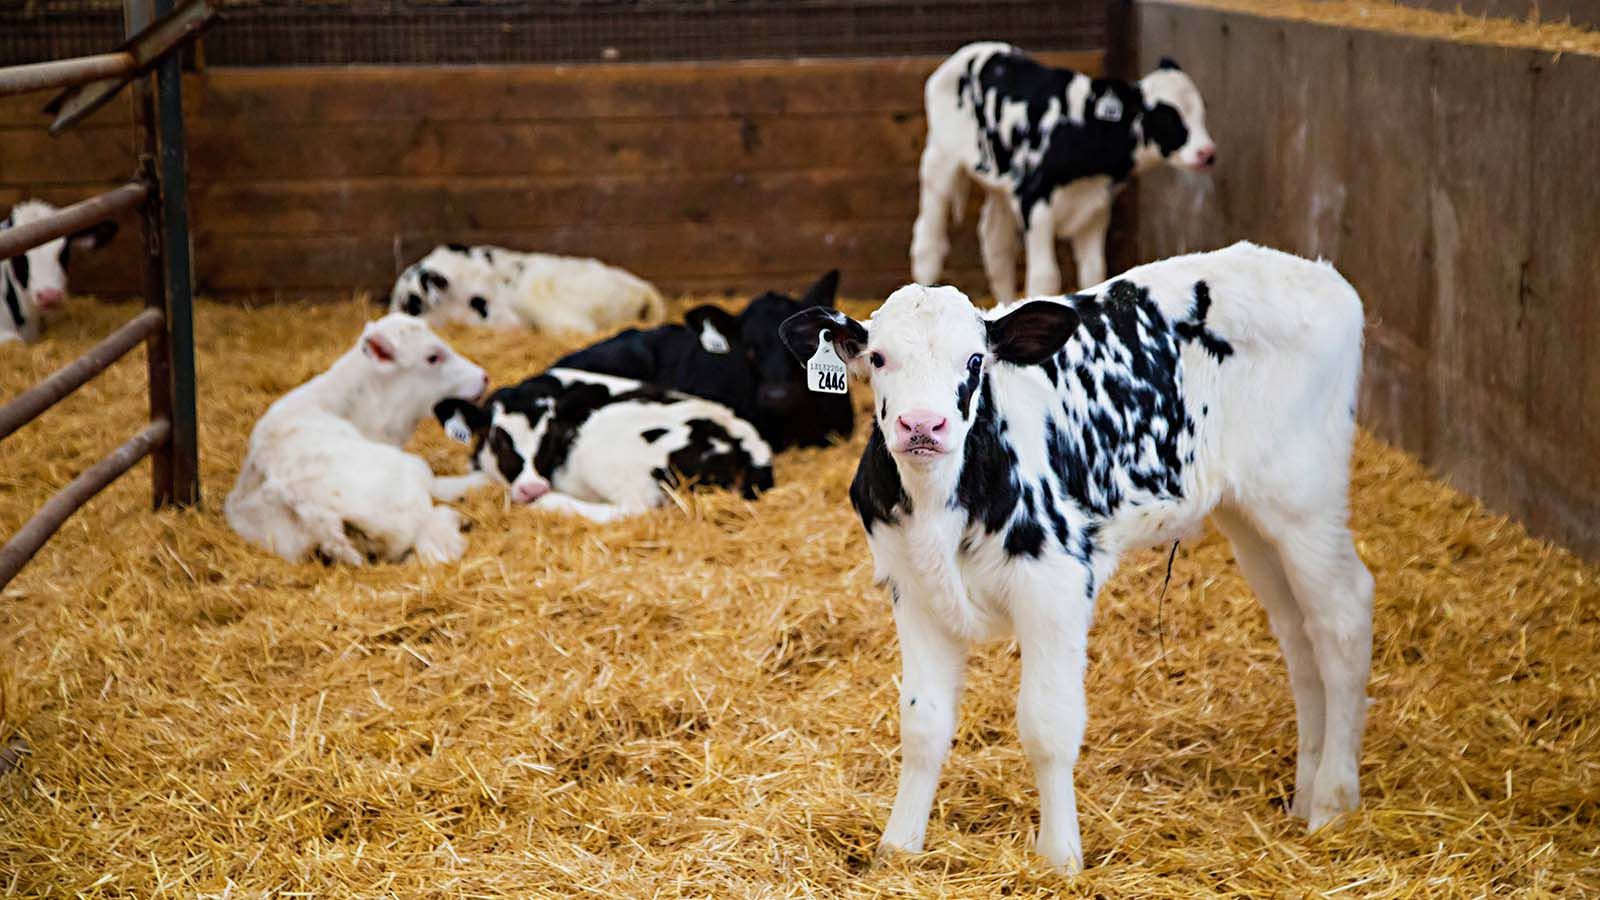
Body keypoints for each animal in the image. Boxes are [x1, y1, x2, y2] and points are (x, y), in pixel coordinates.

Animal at [435, 368, 774, 523]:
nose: (533, 489)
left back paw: (551, 503)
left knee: (634, 508)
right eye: (497, 438)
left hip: (603, 451)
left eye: (553, 437)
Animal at [779, 242, 1374, 872]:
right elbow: (922, 723)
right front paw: (899, 846)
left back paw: (1332, 801)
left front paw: (1059, 855)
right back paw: (1305, 793)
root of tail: (1319, 275)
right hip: (1252, 517)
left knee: (1342, 618)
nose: (922, 425)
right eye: (879, 357)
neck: (943, 503)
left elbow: (1048, 725)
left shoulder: (1056, 584)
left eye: (974, 360)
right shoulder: (914, 589)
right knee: (1298, 633)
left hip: (1305, 499)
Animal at [912, 42, 1215, 303]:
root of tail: (969, 52)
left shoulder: (1095, 207)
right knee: (928, 243)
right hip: (940, 161)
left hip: (1000, 186)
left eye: (1201, 109)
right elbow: (1045, 278)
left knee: (997, 246)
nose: (1207, 153)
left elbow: (1094, 272)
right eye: (1165, 116)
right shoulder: (1034, 200)